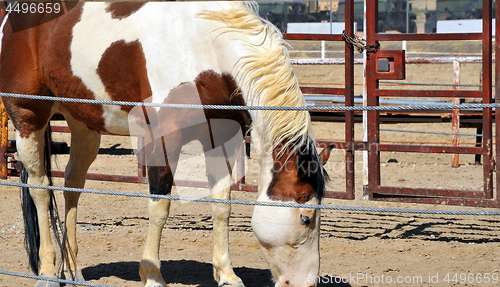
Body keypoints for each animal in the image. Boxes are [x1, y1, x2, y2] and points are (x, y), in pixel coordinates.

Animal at [1, 2, 334, 287]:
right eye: (306, 218)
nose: (307, 283)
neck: (205, 49)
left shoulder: (221, 138)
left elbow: (222, 205)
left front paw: (227, 275)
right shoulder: (163, 138)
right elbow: (160, 206)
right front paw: (151, 275)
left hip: (84, 124)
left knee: (73, 185)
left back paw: (73, 272)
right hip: (28, 117)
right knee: (40, 189)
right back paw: (47, 273)